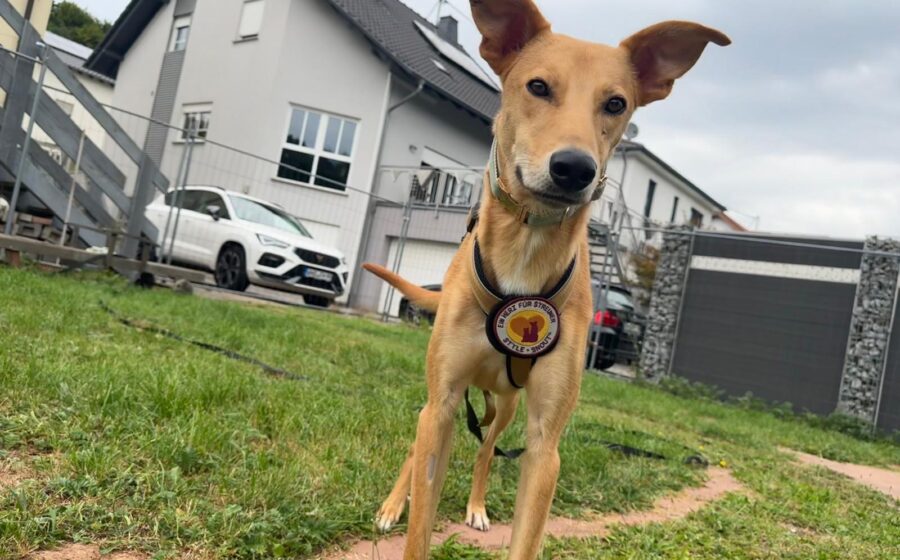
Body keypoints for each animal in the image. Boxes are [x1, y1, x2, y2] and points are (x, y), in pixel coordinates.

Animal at [364, 1, 729, 558]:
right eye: (537, 86)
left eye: (616, 103)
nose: (574, 168)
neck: (525, 250)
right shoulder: (442, 402)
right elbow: (420, 519)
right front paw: (402, 509)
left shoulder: (544, 442)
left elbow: (525, 528)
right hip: (445, 404)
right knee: (418, 443)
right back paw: (391, 505)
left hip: (506, 407)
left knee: (487, 451)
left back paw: (476, 505)